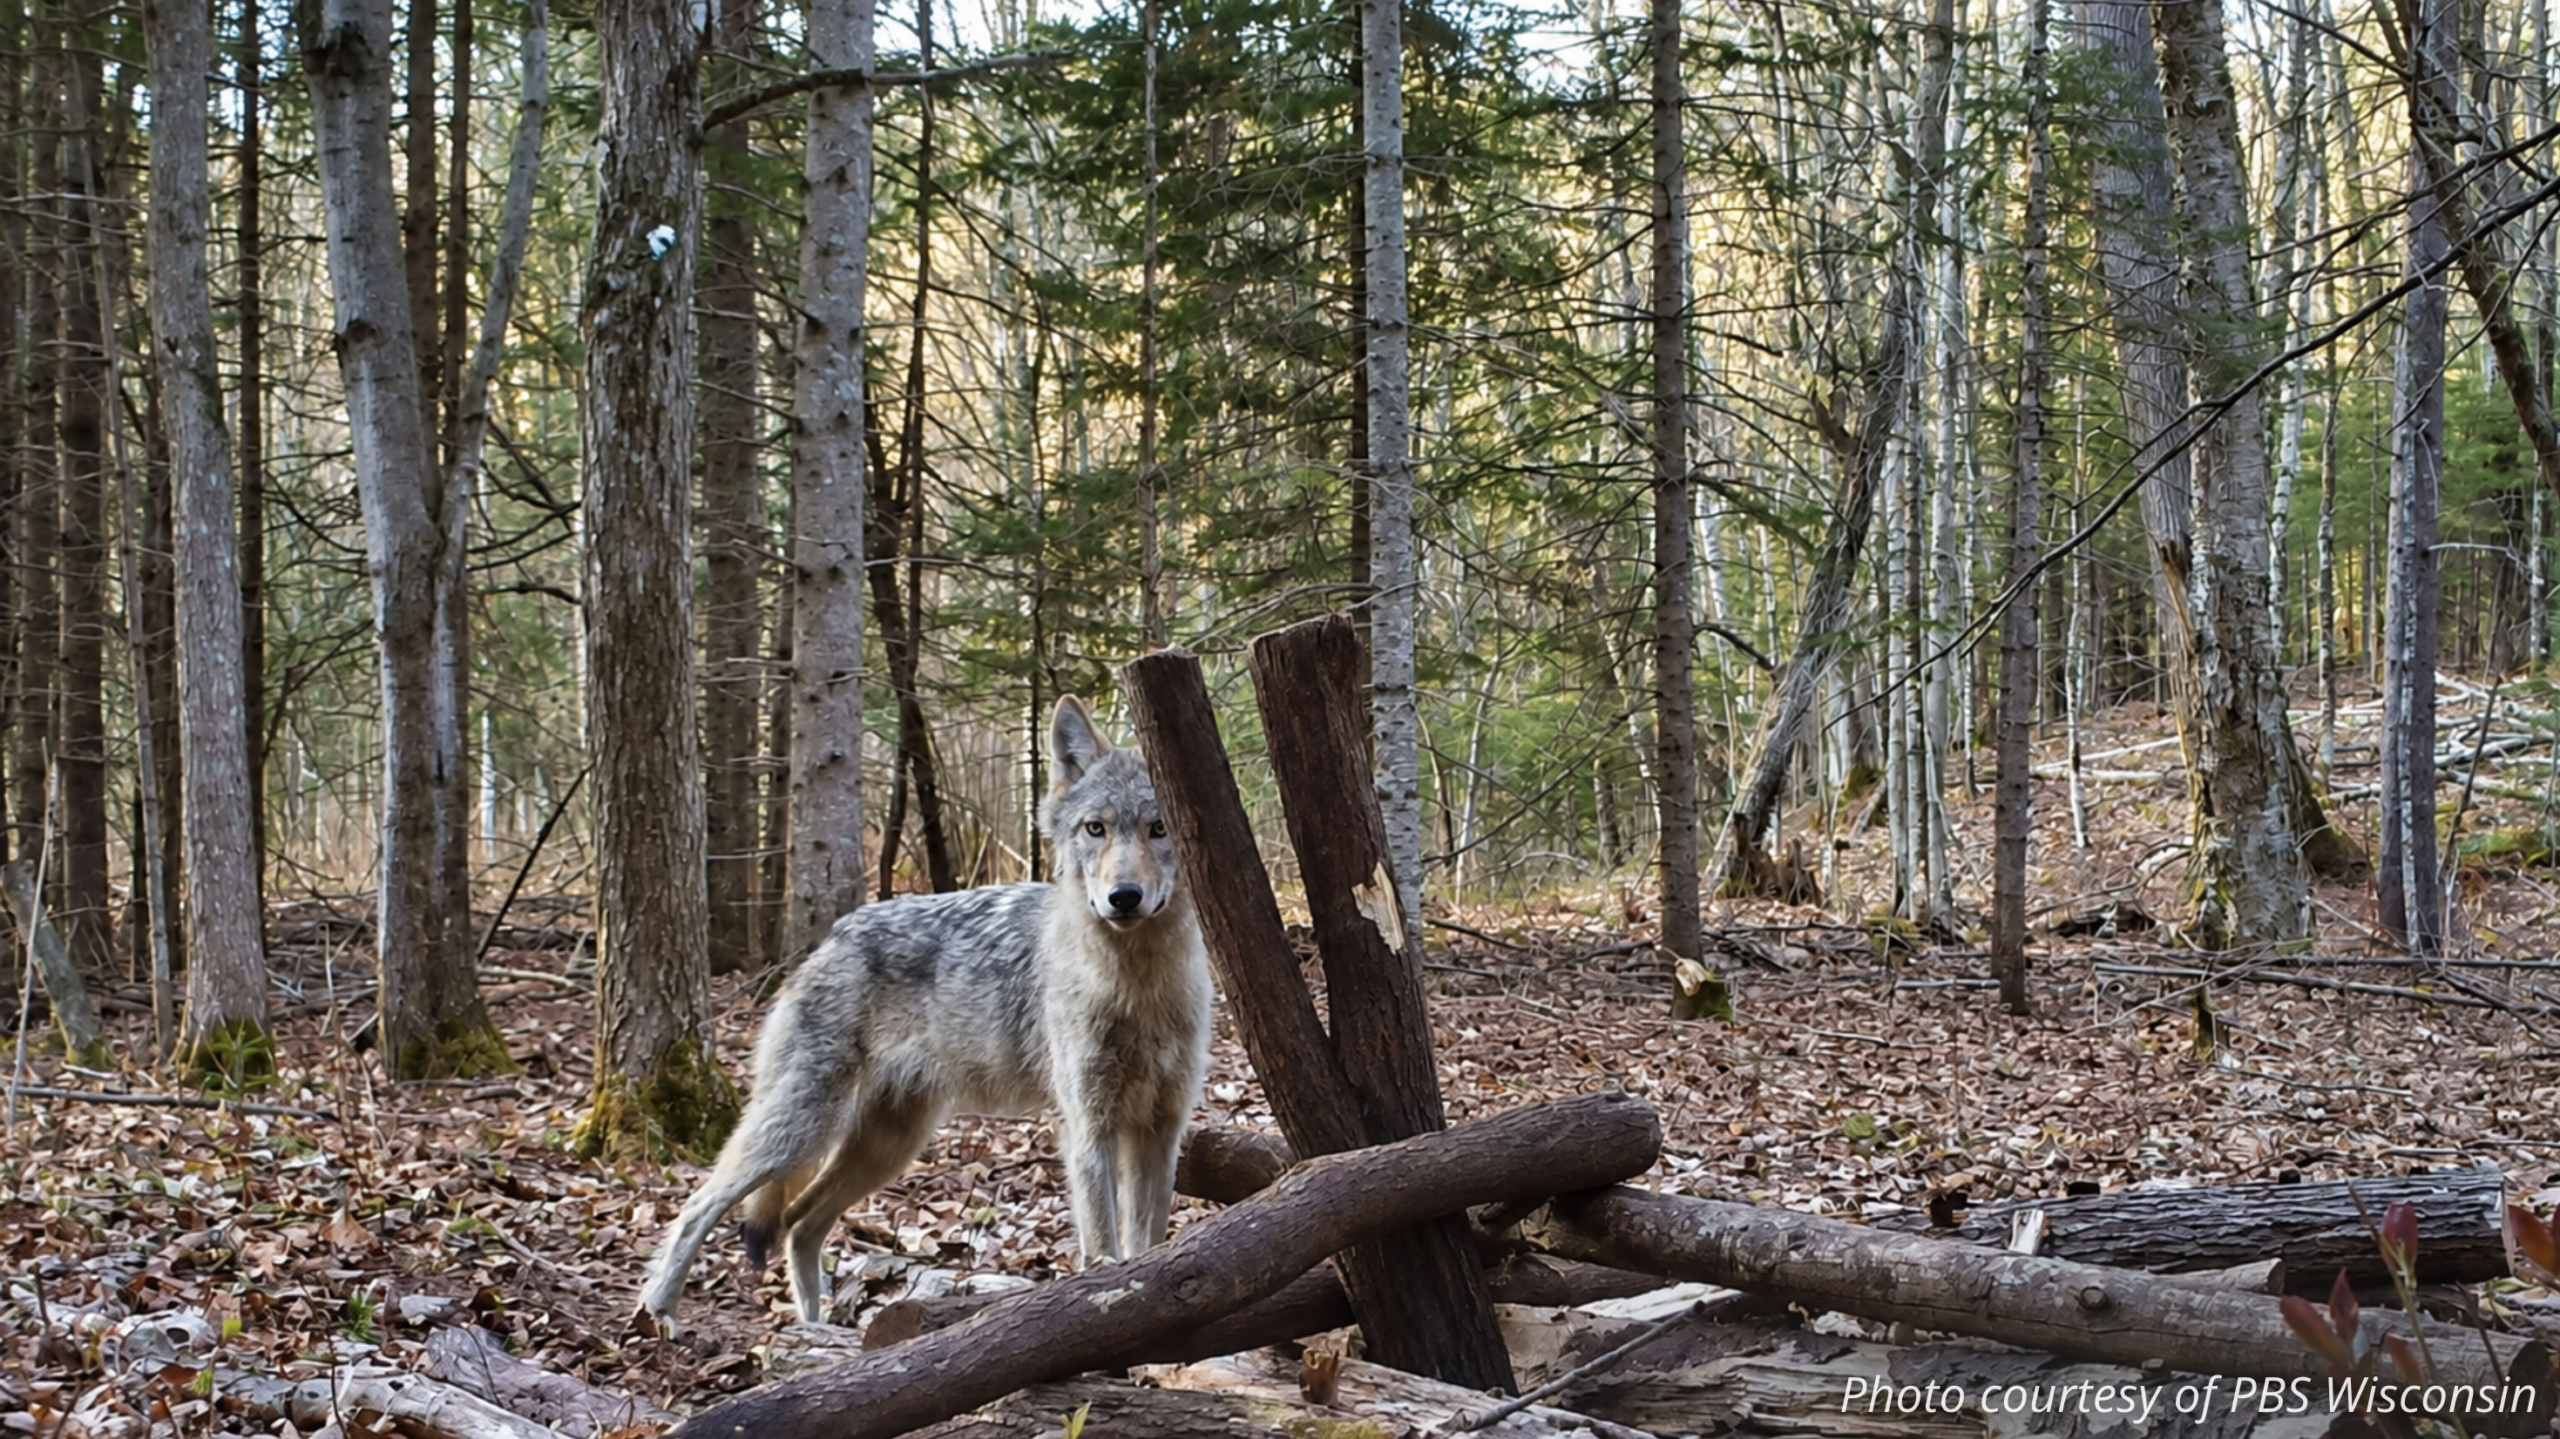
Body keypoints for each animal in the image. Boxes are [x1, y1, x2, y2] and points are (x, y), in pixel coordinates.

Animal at [637, 697, 1213, 1333]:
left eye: (1158, 828)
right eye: (1097, 829)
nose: (1124, 897)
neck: (1138, 990)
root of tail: (830, 937)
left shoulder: (1161, 1130)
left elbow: (1149, 1244)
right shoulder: (1089, 1129)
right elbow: (1107, 1250)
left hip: (886, 1146)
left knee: (799, 1223)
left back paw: (817, 1331)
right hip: (802, 1129)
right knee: (702, 1202)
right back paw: (661, 1310)